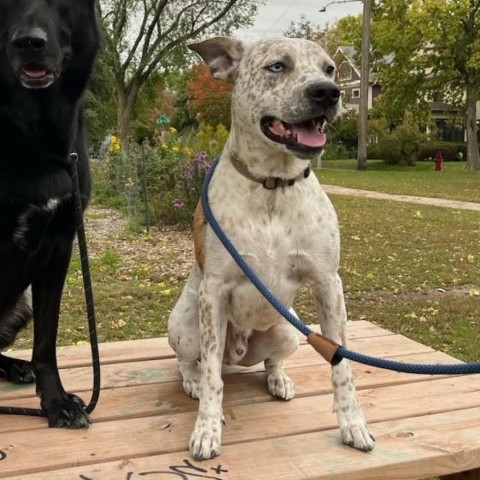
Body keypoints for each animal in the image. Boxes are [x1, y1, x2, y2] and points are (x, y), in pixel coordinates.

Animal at [169, 34, 376, 462]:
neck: (273, 186)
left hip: (289, 331)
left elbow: (342, 367)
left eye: (330, 69)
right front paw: (206, 428)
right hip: (185, 326)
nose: (328, 93)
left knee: (269, 360)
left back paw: (278, 379)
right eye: (277, 66)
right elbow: (212, 378)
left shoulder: (328, 283)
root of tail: (236, 356)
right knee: (192, 362)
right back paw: (193, 381)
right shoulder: (214, 292)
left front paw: (353, 425)